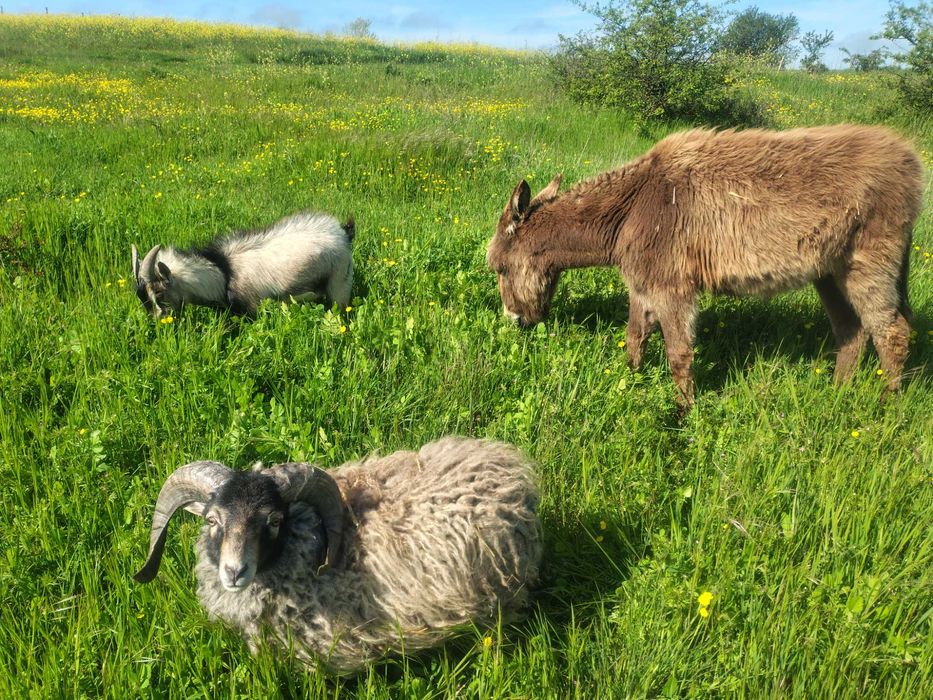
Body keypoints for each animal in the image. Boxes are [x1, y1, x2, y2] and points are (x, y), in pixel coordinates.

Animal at [132, 211, 355, 318]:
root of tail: (342, 233)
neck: (224, 272)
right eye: (141, 298)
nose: (157, 321)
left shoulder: (251, 307)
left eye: (159, 293)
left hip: (339, 281)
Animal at [486, 125, 923, 407]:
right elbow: (635, 337)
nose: (514, 320)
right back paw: (838, 394)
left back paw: (886, 409)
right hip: (830, 272)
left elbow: (679, 352)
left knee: (892, 333)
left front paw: (683, 414)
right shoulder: (643, 285)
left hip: (869, 261)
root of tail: (910, 161)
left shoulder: (671, 287)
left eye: (500, 268)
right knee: (852, 331)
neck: (631, 208)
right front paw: (631, 384)